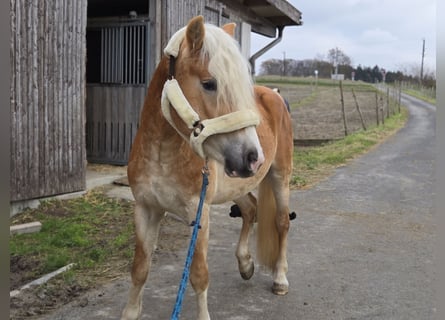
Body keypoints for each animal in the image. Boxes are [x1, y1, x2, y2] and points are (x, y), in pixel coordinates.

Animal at [122, 15, 294, 320]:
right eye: (209, 83)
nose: (254, 157)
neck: (162, 152)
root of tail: (275, 97)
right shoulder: (145, 208)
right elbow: (140, 269)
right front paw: (131, 311)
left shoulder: (198, 213)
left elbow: (199, 275)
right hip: (238, 182)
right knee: (250, 210)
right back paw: (245, 264)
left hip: (280, 175)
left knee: (281, 222)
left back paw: (280, 279)